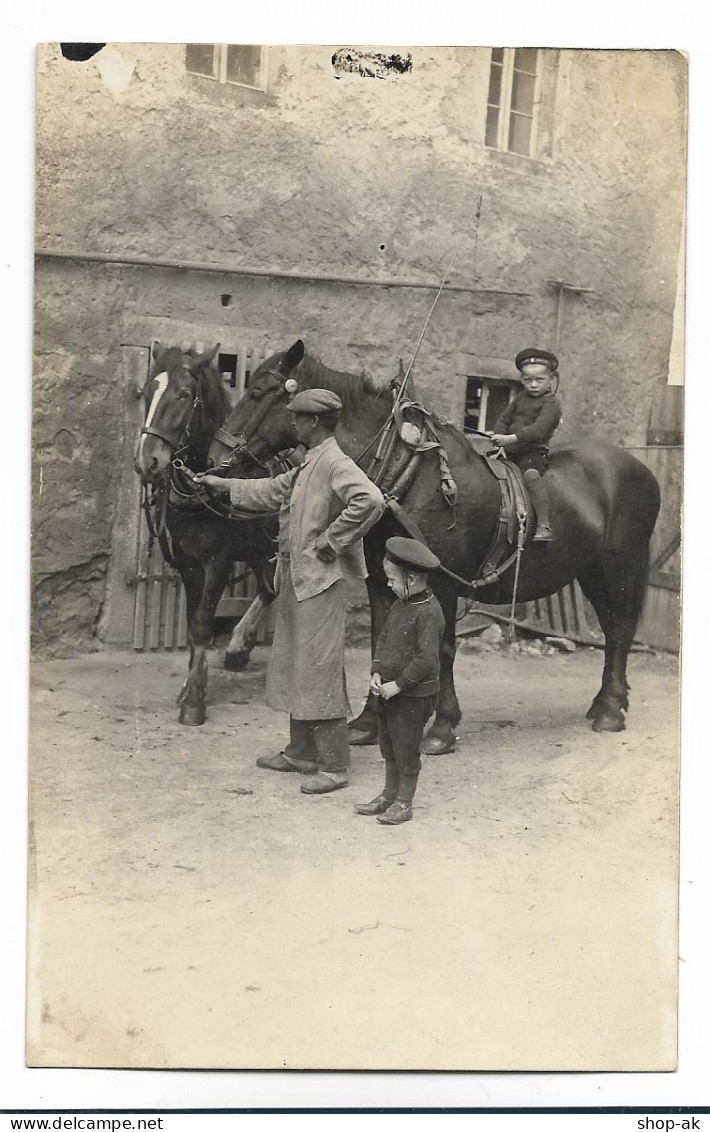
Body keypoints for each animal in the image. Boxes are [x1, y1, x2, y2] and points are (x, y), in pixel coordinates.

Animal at [134, 341, 279, 724]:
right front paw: (188, 685)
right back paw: (239, 647)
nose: (147, 463)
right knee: (269, 589)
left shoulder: (218, 563)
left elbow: (202, 622)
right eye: (147, 393)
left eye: (185, 395)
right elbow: (191, 622)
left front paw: (195, 701)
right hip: (262, 548)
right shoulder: (188, 562)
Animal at [208, 339, 665, 751]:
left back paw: (610, 710)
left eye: (258, 392)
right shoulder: (381, 580)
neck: (410, 474)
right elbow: (380, 642)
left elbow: (444, 649)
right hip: (592, 572)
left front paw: (443, 726)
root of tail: (639, 468)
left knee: (620, 631)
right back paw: (606, 702)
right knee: (613, 629)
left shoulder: (442, 581)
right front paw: (368, 724)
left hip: (621, 566)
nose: (214, 459)